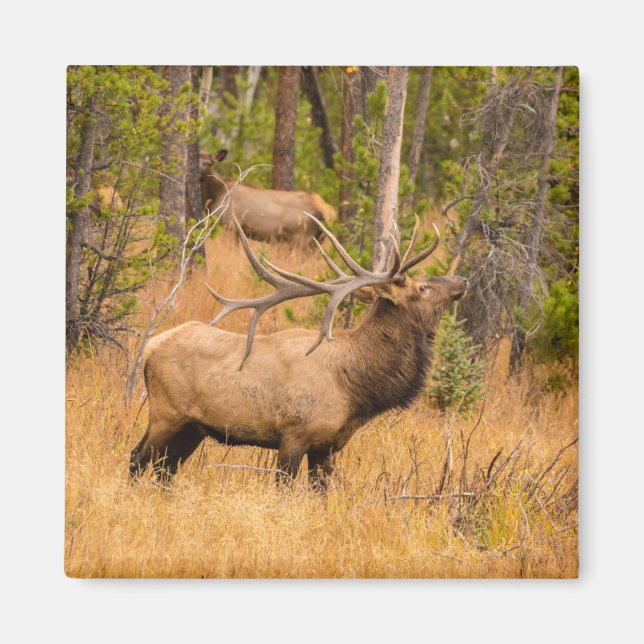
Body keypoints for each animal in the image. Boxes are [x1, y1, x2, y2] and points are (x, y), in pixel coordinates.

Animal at [130, 214, 468, 491]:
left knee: (165, 470)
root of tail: (150, 347)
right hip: (166, 412)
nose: (462, 280)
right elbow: (284, 489)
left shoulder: (327, 447)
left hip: (194, 426)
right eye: (423, 287)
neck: (355, 390)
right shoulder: (293, 434)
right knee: (138, 457)